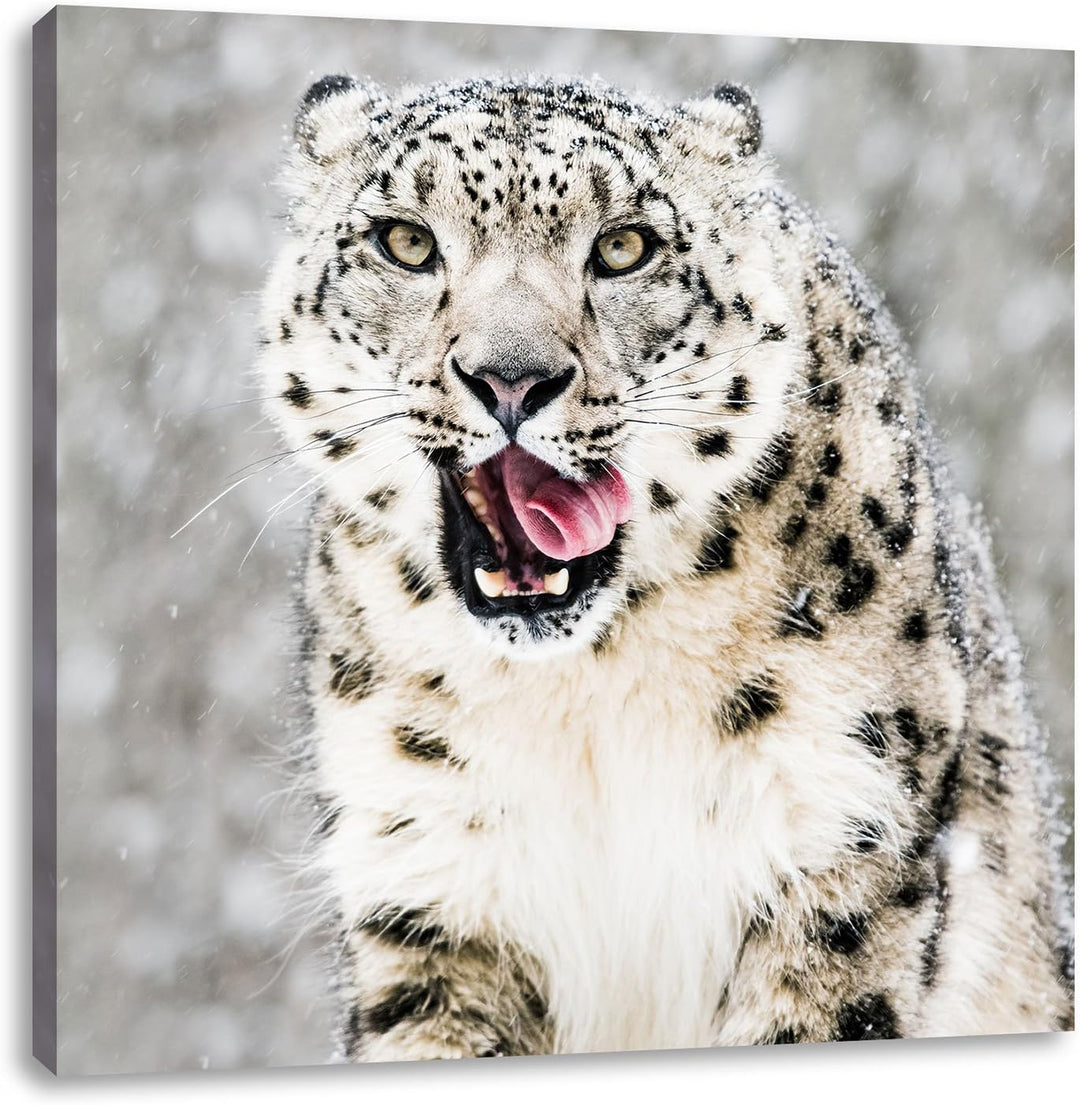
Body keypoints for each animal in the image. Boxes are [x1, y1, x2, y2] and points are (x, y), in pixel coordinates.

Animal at [256, 73, 1073, 1060]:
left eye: (624, 247)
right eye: (406, 241)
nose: (511, 378)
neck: (586, 695)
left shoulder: (838, 832)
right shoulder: (430, 877)